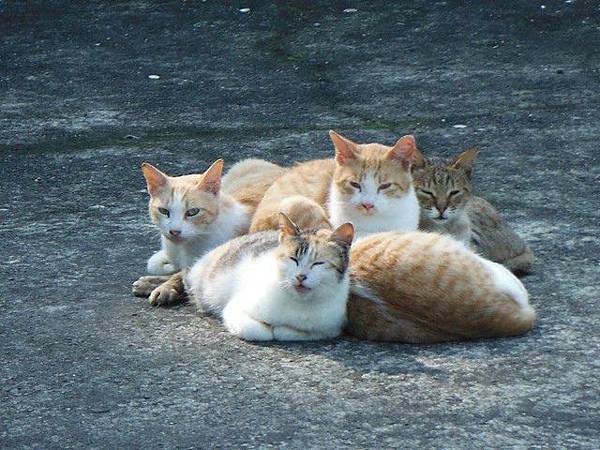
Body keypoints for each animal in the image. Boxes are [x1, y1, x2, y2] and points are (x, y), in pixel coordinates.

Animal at [183, 214, 354, 342]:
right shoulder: (235, 308)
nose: (300, 276)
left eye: (318, 263)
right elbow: (260, 332)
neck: (299, 304)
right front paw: (270, 329)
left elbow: (291, 332)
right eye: (293, 259)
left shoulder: (331, 328)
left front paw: (282, 329)